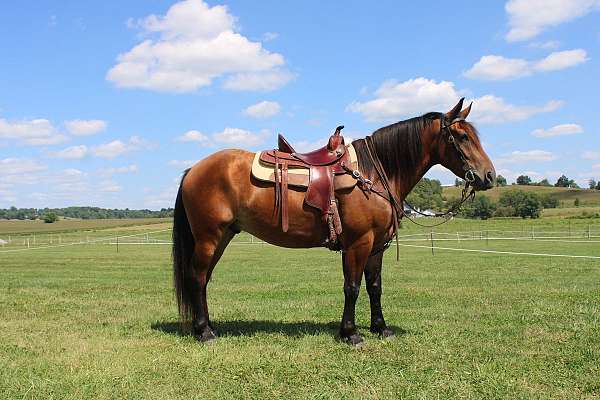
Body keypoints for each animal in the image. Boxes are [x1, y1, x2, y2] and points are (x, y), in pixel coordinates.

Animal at [171, 98, 494, 346]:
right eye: (462, 137)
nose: (489, 176)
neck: (374, 172)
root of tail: (193, 170)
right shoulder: (358, 242)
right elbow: (352, 286)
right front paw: (350, 334)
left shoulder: (377, 246)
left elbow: (374, 286)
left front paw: (381, 328)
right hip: (209, 237)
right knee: (197, 277)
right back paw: (204, 333)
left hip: (222, 236)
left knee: (203, 279)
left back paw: (210, 326)